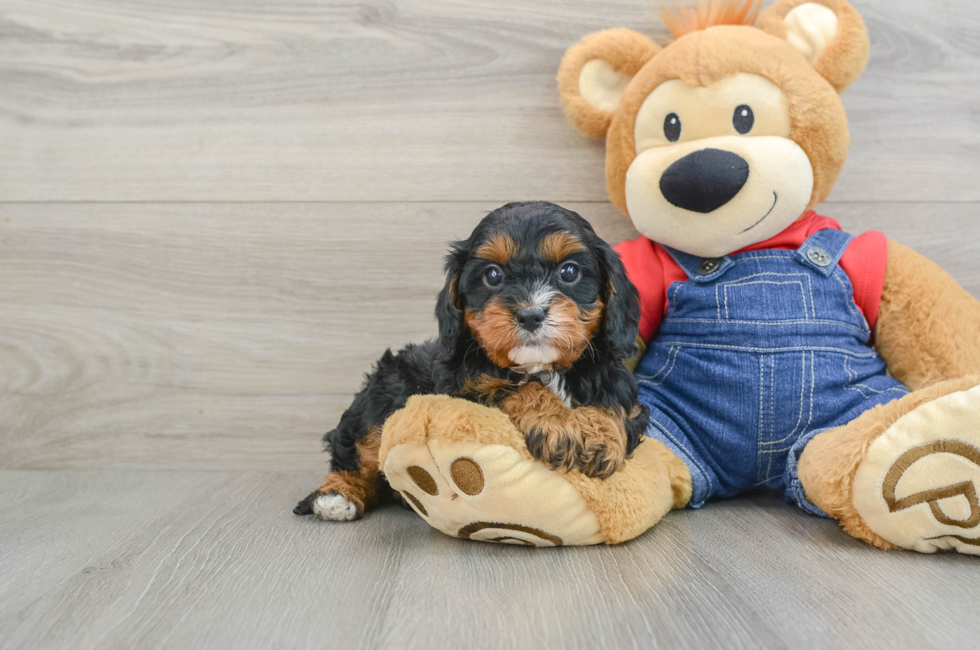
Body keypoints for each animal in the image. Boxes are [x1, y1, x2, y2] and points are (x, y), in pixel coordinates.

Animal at [294, 200, 648, 520]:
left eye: (569, 272)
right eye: (492, 275)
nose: (531, 314)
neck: (542, 366)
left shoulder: (613, 378)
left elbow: (615, 403)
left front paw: (601, 437)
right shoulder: (463, 391)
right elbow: (518, 388)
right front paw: (557, 424)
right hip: (384, 391)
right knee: (357, 451)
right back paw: (336, 495)